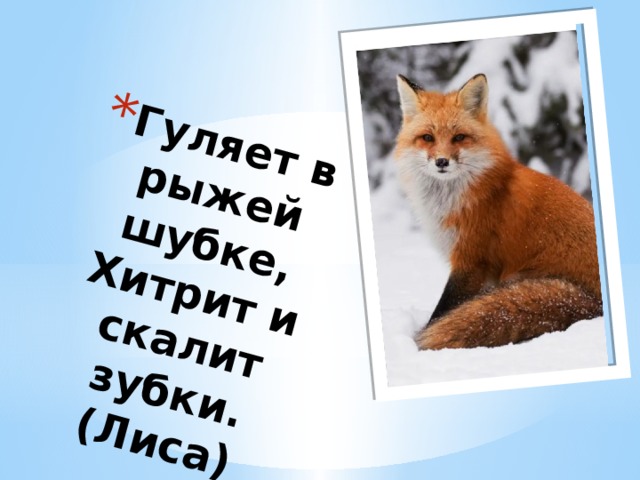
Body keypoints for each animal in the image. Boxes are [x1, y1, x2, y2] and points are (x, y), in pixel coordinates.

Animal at [394, 73, 603, 350]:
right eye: (428, 138)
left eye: (459, 137)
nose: (441, 162)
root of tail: (596, 305)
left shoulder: (471, 259)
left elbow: (443, 310)